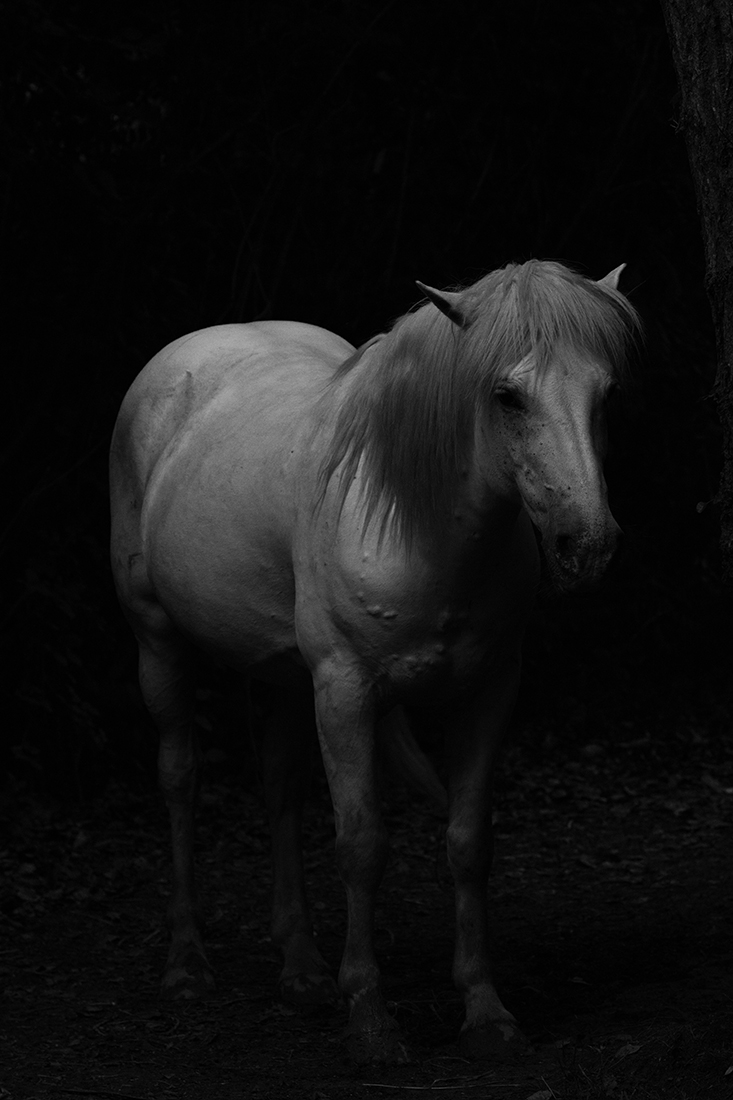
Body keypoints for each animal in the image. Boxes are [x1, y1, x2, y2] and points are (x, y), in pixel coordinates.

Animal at [109, 259, 640, 1064]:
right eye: (506, 395)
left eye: (604, 392)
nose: (589, 546)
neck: (414, 523)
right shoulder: (346, 692)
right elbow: (361, 843)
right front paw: (371, 1020)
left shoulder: (489, 692)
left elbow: (467, 841)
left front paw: (485, 1011)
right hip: (159, 645)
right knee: (180, 781)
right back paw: (186, 966)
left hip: (282, 675)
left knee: (279, 790)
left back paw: (301, 971)